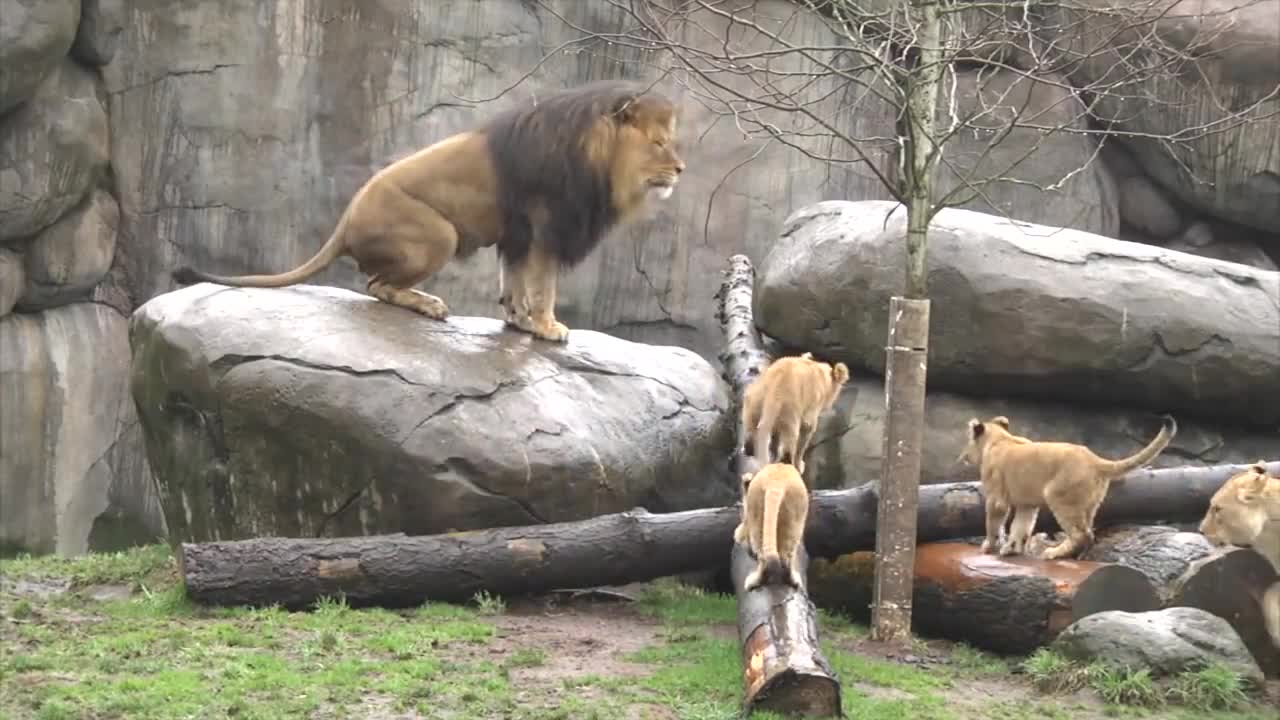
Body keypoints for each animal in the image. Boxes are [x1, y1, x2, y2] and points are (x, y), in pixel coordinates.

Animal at [177, 78, 691, 340]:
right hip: (440, 235)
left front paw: (519, 320)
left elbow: (514, 281)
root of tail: (344, 222)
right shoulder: (547, 227)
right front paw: (548, 326)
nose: (682, 169)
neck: (597, 159)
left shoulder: (518, 234)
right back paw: (427, 304)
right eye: (659, 144)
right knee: (375, 286)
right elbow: (543, 285)